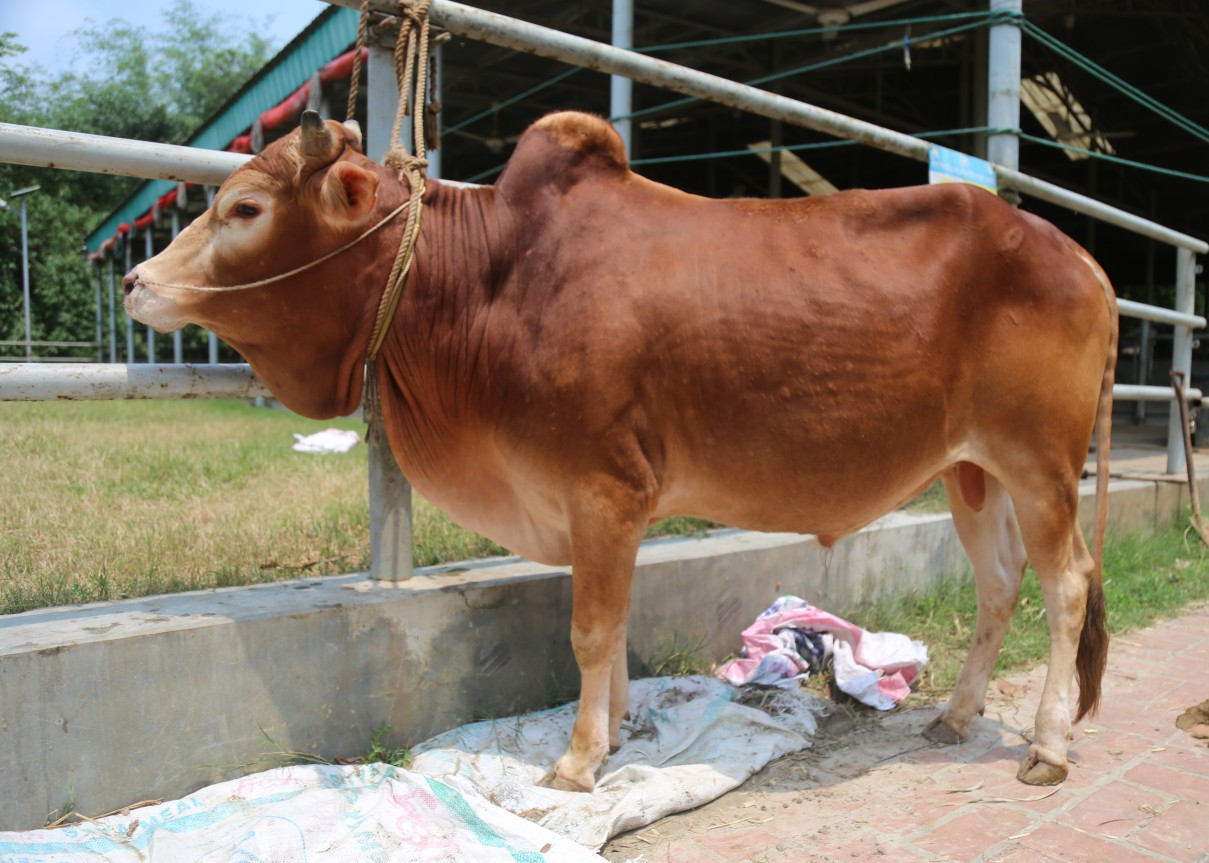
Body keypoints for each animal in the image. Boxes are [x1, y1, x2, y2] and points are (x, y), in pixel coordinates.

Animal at [124, 109, 1117, 793]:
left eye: (245, 207)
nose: (135, 280)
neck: (488, 279)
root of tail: (1081, 258)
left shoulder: (601, 489)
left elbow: (591, 627)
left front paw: (575, 761)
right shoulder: (611, 503)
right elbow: (616, 624)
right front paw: (619, 730)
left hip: (1039, 465)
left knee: (1066, 581)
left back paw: (1046, 744)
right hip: (970, 471)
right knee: (1000, 584)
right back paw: (955, 714)